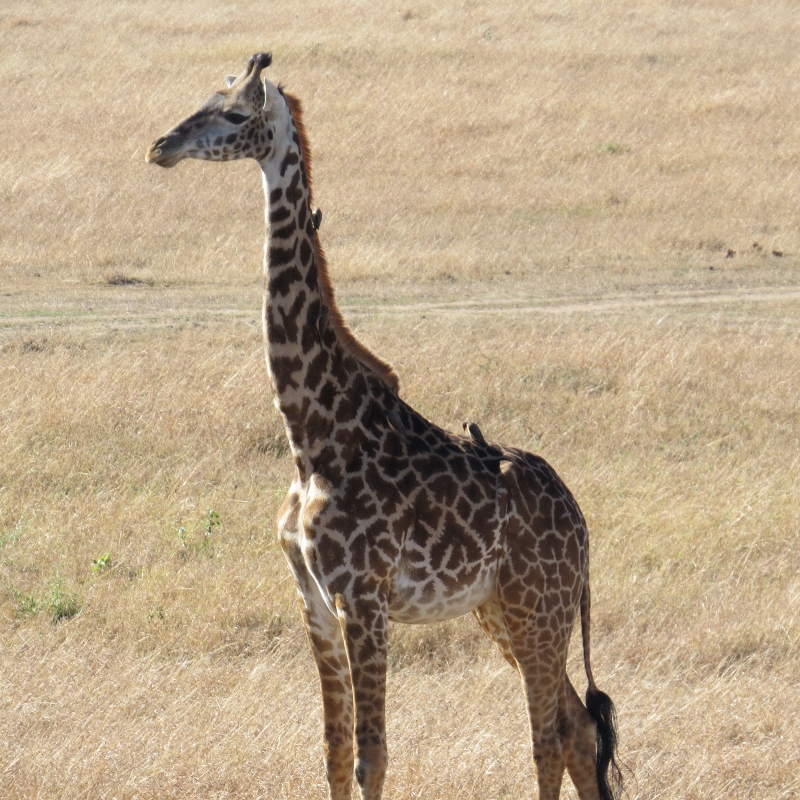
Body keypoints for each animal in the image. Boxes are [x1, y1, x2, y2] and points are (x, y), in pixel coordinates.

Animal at [146, 53, 622, 800]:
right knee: (578, 727)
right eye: (203, 99)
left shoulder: (362, 596)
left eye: (234, 112)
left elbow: (374, 755)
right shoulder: (312, 599)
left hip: (538, 609)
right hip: (502, 612)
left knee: (549, 736)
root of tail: (581, 522)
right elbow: (335, 751)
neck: (313, 437)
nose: (160, 146)